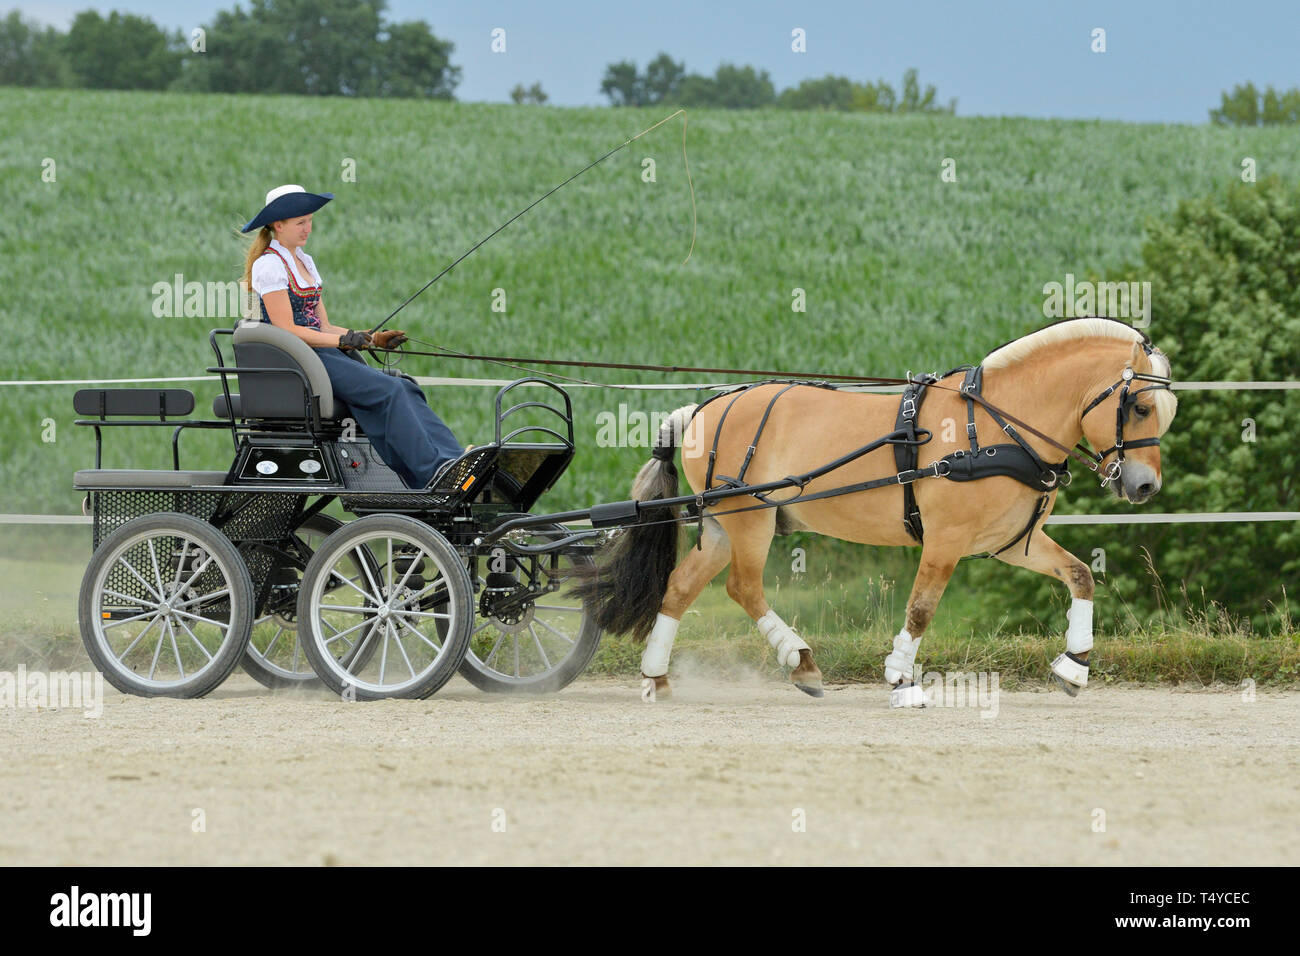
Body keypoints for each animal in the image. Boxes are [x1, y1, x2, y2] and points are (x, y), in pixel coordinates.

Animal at [569, 319, 1180, 702]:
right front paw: (901, 679)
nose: (1145, 486)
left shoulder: (1011, 543)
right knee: (742, 588)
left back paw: (656, 678)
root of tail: (699, 410)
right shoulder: (946, 539)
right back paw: (801, 661)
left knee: (679, 588)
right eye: (1139, 406)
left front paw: (1075, 666)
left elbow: (1079, 576)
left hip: (721, 526)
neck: (997, 426)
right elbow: (922, 609)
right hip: (749, 519)